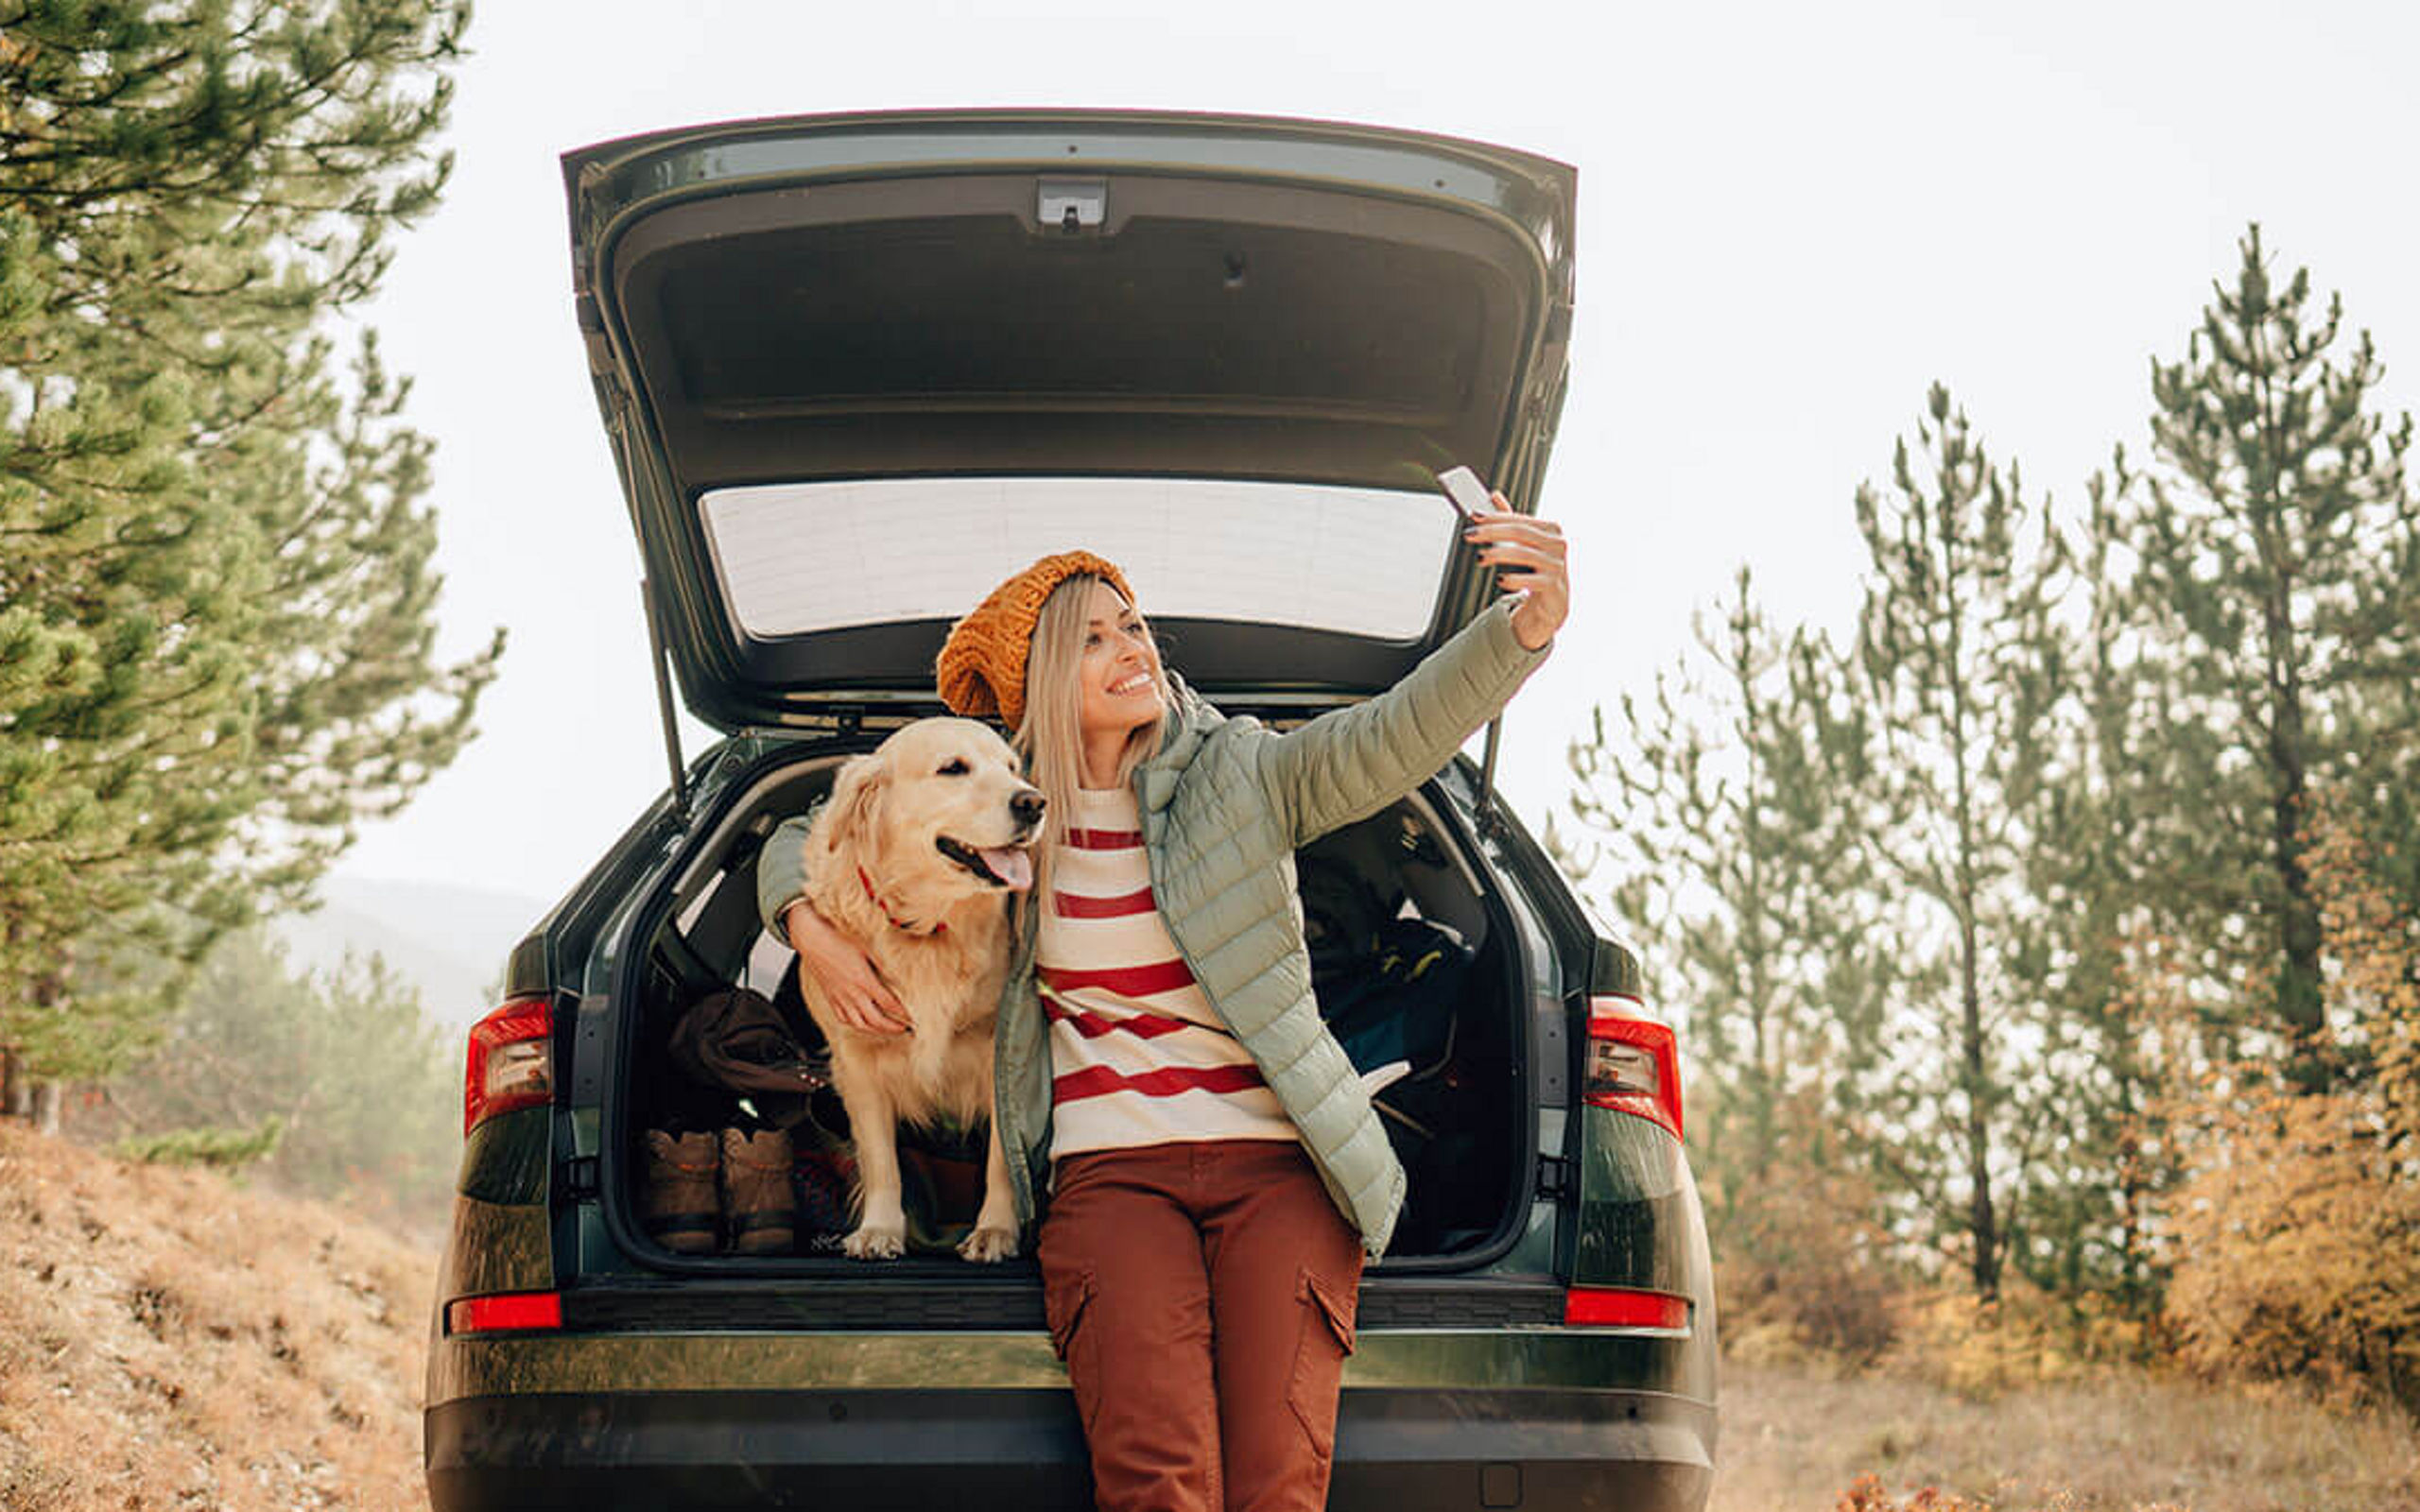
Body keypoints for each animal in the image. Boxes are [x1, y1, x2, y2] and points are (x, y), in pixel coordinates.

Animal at [793, 720, 1040, 1258]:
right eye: (953, 768)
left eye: (1012, 766)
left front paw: (995, 1230)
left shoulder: (999, 1052)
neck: (928, 929)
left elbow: (1001, 1159)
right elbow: (881, 1161)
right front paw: (879, 1230)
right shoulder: (856, 1062)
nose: (1034, 803)